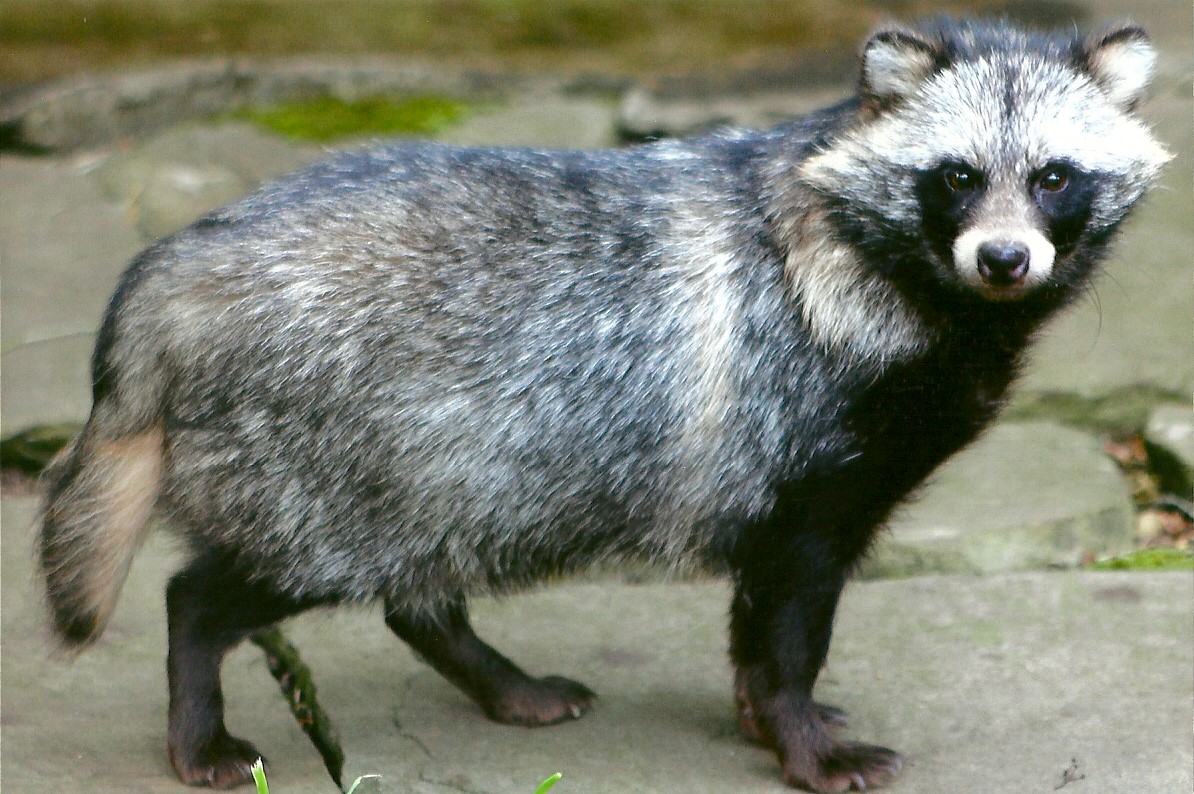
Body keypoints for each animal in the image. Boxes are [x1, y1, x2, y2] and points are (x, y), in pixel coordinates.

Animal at [38, 19, 1169, 792]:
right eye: (957, 176)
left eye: (1055, 176)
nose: (1005, 258)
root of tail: (175, 265)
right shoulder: (801, 465)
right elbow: (791, 627)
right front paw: (805, 741)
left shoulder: (766, 477)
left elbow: (757, 630)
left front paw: (763, 716)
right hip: (322, 464)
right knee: (211, 593)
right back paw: (199, 720)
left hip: (435, 466)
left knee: (416, 589)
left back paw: (501, 679)